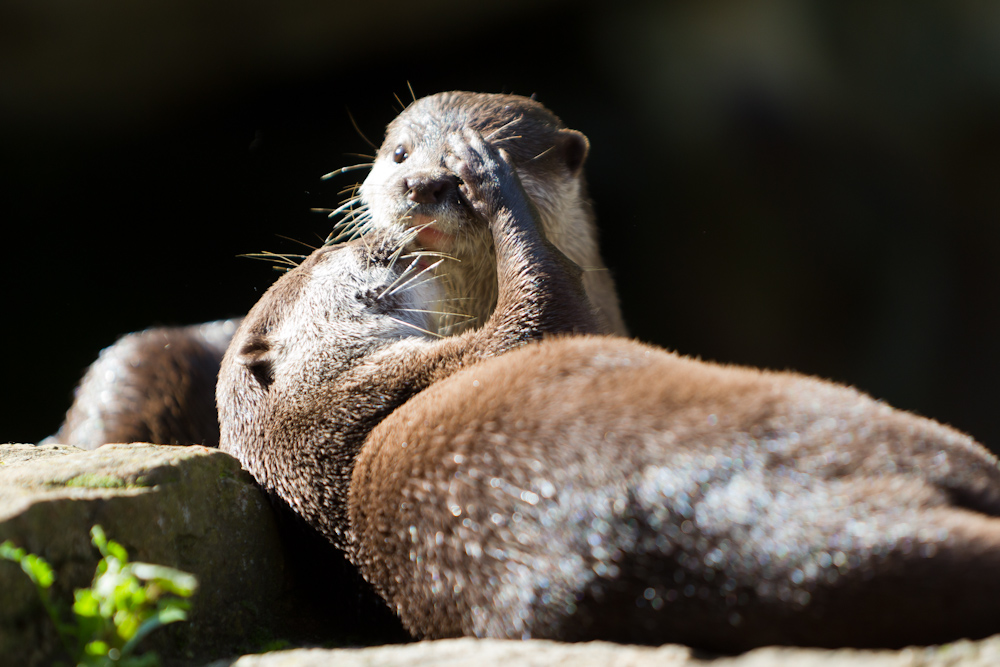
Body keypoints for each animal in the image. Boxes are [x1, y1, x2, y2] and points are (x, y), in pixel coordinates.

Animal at [219, 126, 1000, 652]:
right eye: (343, 263)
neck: (336, 429)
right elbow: (544, 299)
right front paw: (488, 174)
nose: (377, 231)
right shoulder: (471, 354)